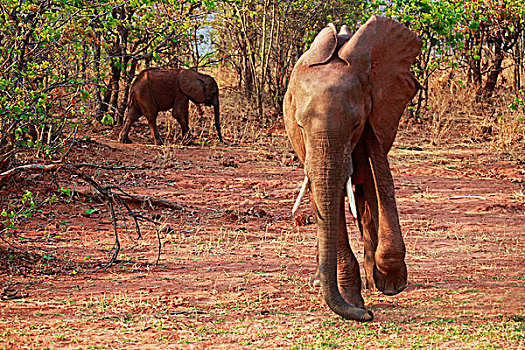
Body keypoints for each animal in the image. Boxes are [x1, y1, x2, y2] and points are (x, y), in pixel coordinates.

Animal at [282, 16, 422, 322]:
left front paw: (389, 283)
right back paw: (320, 280)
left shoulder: (376, 115)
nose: (367, 314)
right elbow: (328, 204)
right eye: (300, 126)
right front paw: (353, 299)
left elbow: (378, 180)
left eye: (356, 124)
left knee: (364, 190)